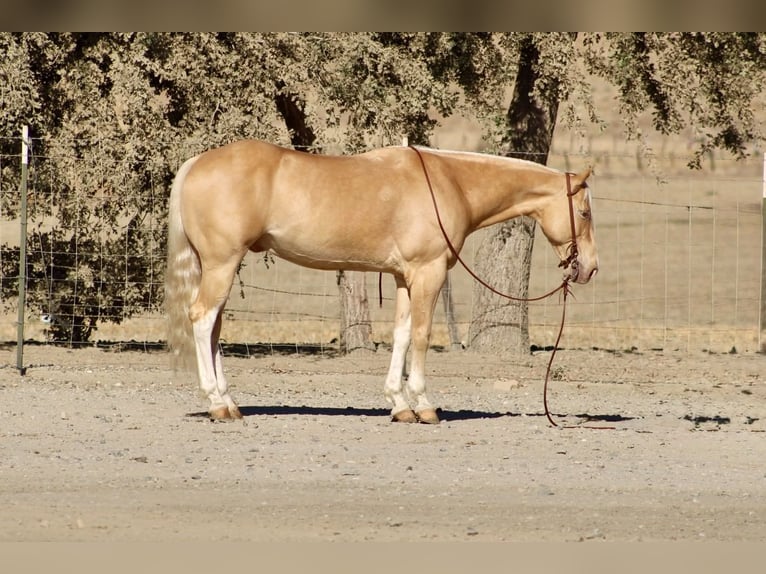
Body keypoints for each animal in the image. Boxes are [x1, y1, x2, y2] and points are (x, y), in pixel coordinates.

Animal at [164, 140, 598, 424]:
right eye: (584, 211)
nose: (590, 268)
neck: (451, 183)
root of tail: (196, 163)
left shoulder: (404, 277)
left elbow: (402, 335)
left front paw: (399, 405)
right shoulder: (429, 272)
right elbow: (421, 335)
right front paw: (424, 405)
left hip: (216, 266)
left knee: (214, 327)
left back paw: (228, 402)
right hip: (222, 264)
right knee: (202, 319)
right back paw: (217, 404)